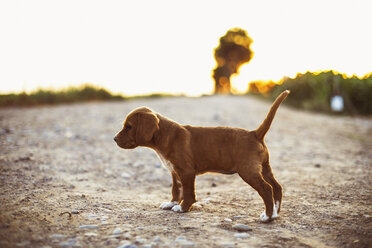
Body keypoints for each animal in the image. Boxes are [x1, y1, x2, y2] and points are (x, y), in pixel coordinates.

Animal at [115, 90, 290, 222]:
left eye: (128, 127)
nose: (114, 139)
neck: (165, 136)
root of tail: (255, 133)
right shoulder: (175, 172)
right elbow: (176, 190)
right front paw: (171, 204)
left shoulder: (186, 172)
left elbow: (188, 193)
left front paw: (183, 208)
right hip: (264, 168)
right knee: (277, 187)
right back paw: (275, 213)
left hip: (248, 171)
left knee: (266, 189)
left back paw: (268, 216)